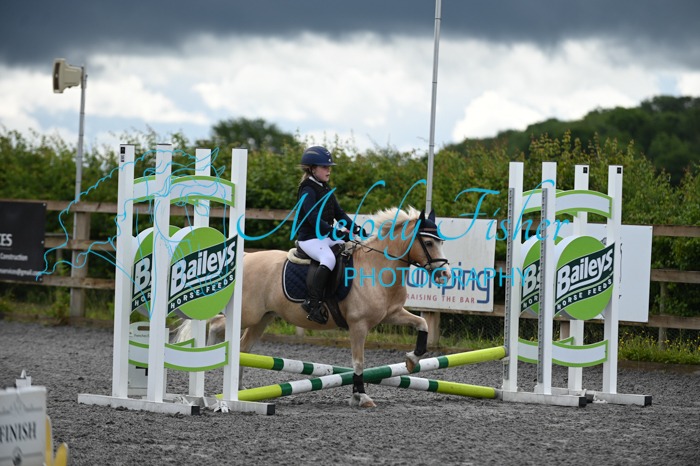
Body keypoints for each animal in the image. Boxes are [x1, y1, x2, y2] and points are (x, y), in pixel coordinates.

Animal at [175, 206, 451, 408]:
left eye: (440, 242)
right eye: (428, 243)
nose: (445, 274)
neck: (376, 266)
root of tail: (246, 257)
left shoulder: (391, 314)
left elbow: (423, 324)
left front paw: (411, 360)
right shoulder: (358, 325)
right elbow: (358, 362)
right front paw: (361, 396)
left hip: (263, 318)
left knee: (242, 347)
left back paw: (239, 391)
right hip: (249, 314)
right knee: (217, 324)